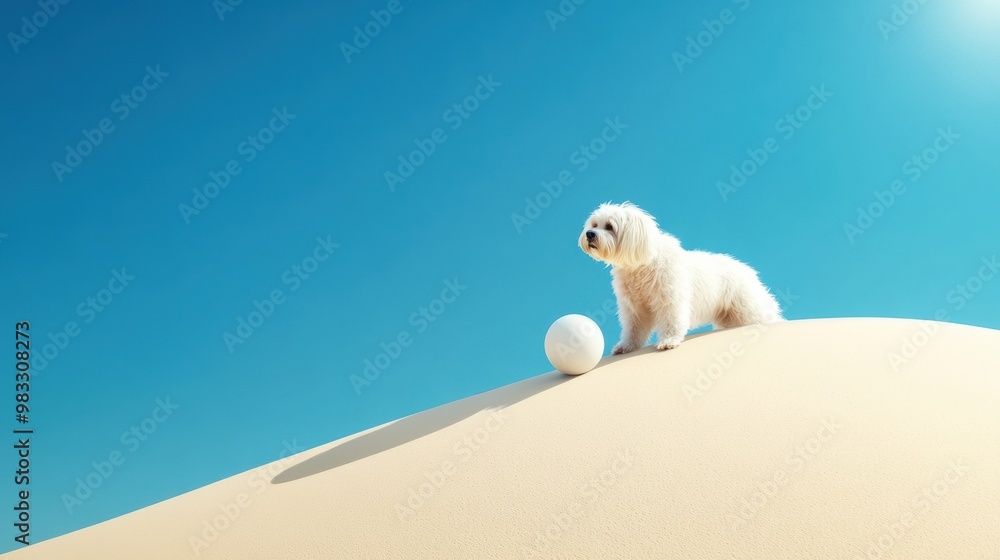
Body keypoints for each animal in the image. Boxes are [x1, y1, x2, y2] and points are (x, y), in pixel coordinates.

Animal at [580, 202, 780, 354]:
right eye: (594, 225)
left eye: (610, 226)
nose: (589, 234)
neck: (640, 265)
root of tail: (748, 270)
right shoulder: (634, 308)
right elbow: (633, 329)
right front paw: (626, 346)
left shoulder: (670, 297)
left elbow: (672, 320)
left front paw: (669, 341)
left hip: (746, 309)